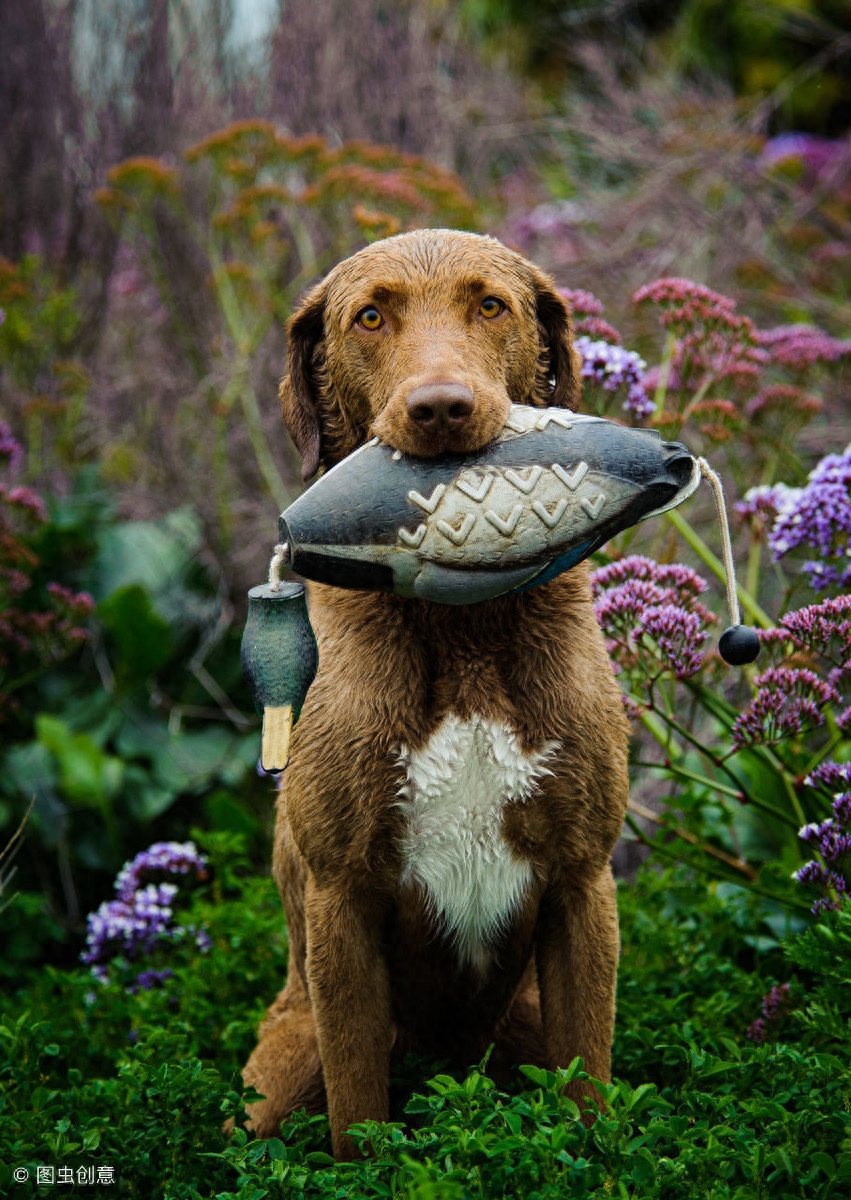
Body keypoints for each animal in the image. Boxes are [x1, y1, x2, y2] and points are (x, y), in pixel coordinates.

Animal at [242, 229, 628, 1156]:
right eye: (369, 317)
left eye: (490, 304)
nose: (441, 408)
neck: (464, 632)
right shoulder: (341, 902)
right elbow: (358, 1115)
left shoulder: (582, 884)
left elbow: (588, 1093)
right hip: (283, 1058)